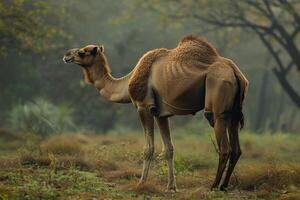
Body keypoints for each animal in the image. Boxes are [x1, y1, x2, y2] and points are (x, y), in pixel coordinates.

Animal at [61, 35, 248, 191]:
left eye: (82, 51)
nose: (66, 55)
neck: (126, 84)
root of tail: (235, 72)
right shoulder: (161, 114)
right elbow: (169, 149)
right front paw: (171, 186)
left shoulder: (144, 107)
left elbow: (148, 148)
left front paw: (141, 183)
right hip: (234, 112)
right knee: (237, 148)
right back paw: (224, 186)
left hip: (217, 100)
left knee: (224, 146)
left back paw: (214, 186)